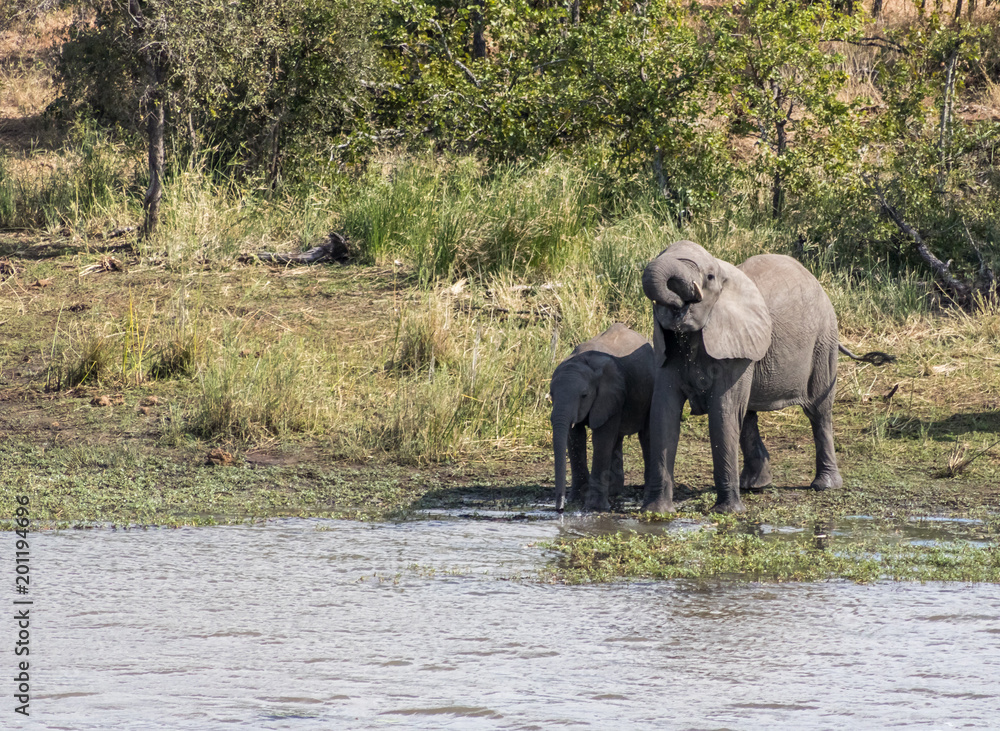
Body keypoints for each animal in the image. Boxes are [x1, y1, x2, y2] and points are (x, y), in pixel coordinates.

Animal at [549, 323, 655, 512]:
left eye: (584, 395)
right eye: (551, 394)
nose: (560, 509)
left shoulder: (610, 393)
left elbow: (602, 438)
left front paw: (595, 508)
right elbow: (575, 437)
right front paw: (577, 500)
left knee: (646, 435)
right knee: (617, 438)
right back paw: (613, 491)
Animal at [640, 240, 893, 514]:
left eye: (709, 277)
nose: (679, 300)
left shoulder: (736, 345)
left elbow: (723, 413)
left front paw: (728, 512)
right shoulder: (668, 351)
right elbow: (663, 413)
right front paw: (655, 512)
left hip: (824, 340)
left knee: (819, 412)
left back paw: (824, 486)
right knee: (748, 415)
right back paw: (754, 485)